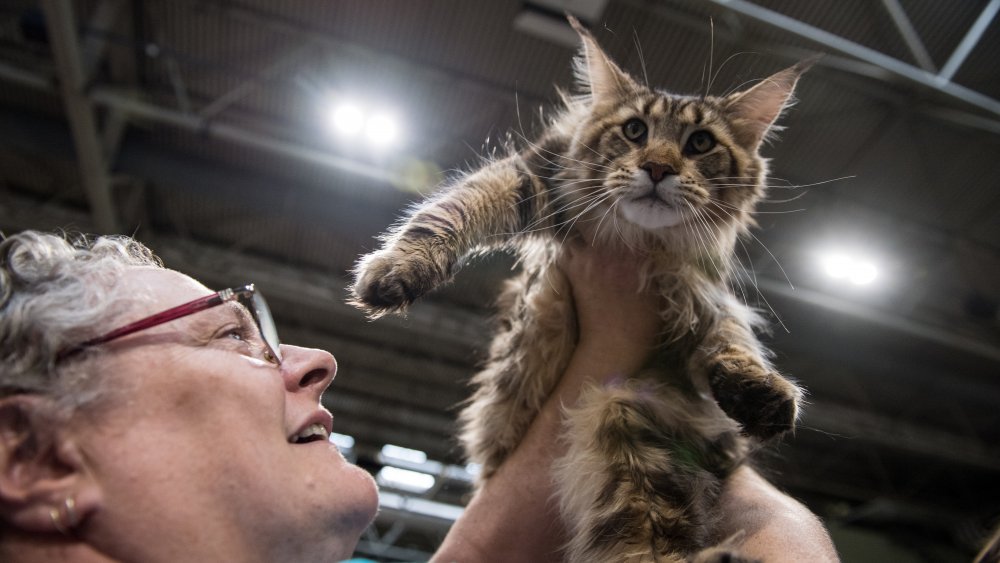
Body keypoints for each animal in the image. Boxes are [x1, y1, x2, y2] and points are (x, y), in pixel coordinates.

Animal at [352, 16, 812, 563]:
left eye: (700, 143)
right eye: (634, 131)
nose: (658, 168)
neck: (638, 240)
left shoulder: (699, 288)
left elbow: (729, 337)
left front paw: (759, 389)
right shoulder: (530, 177)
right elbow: (447, 212)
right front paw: (400, 268)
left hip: (628, 422)